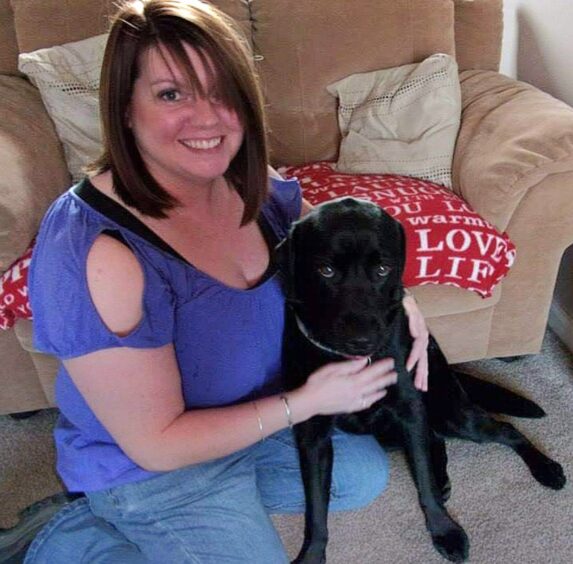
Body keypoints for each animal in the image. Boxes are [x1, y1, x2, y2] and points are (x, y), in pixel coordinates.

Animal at [274, 198, 564, 564]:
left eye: (383, 270)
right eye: (325, 270)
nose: (363, 341)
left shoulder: (409, 408)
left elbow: (422, 479)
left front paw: (444, 529)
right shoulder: (312, 434)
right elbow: (315, 509)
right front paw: (312, 554)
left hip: (451, 412)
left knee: (504, 430)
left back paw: (546, 469)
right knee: (435, 440)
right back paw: (444, 479)